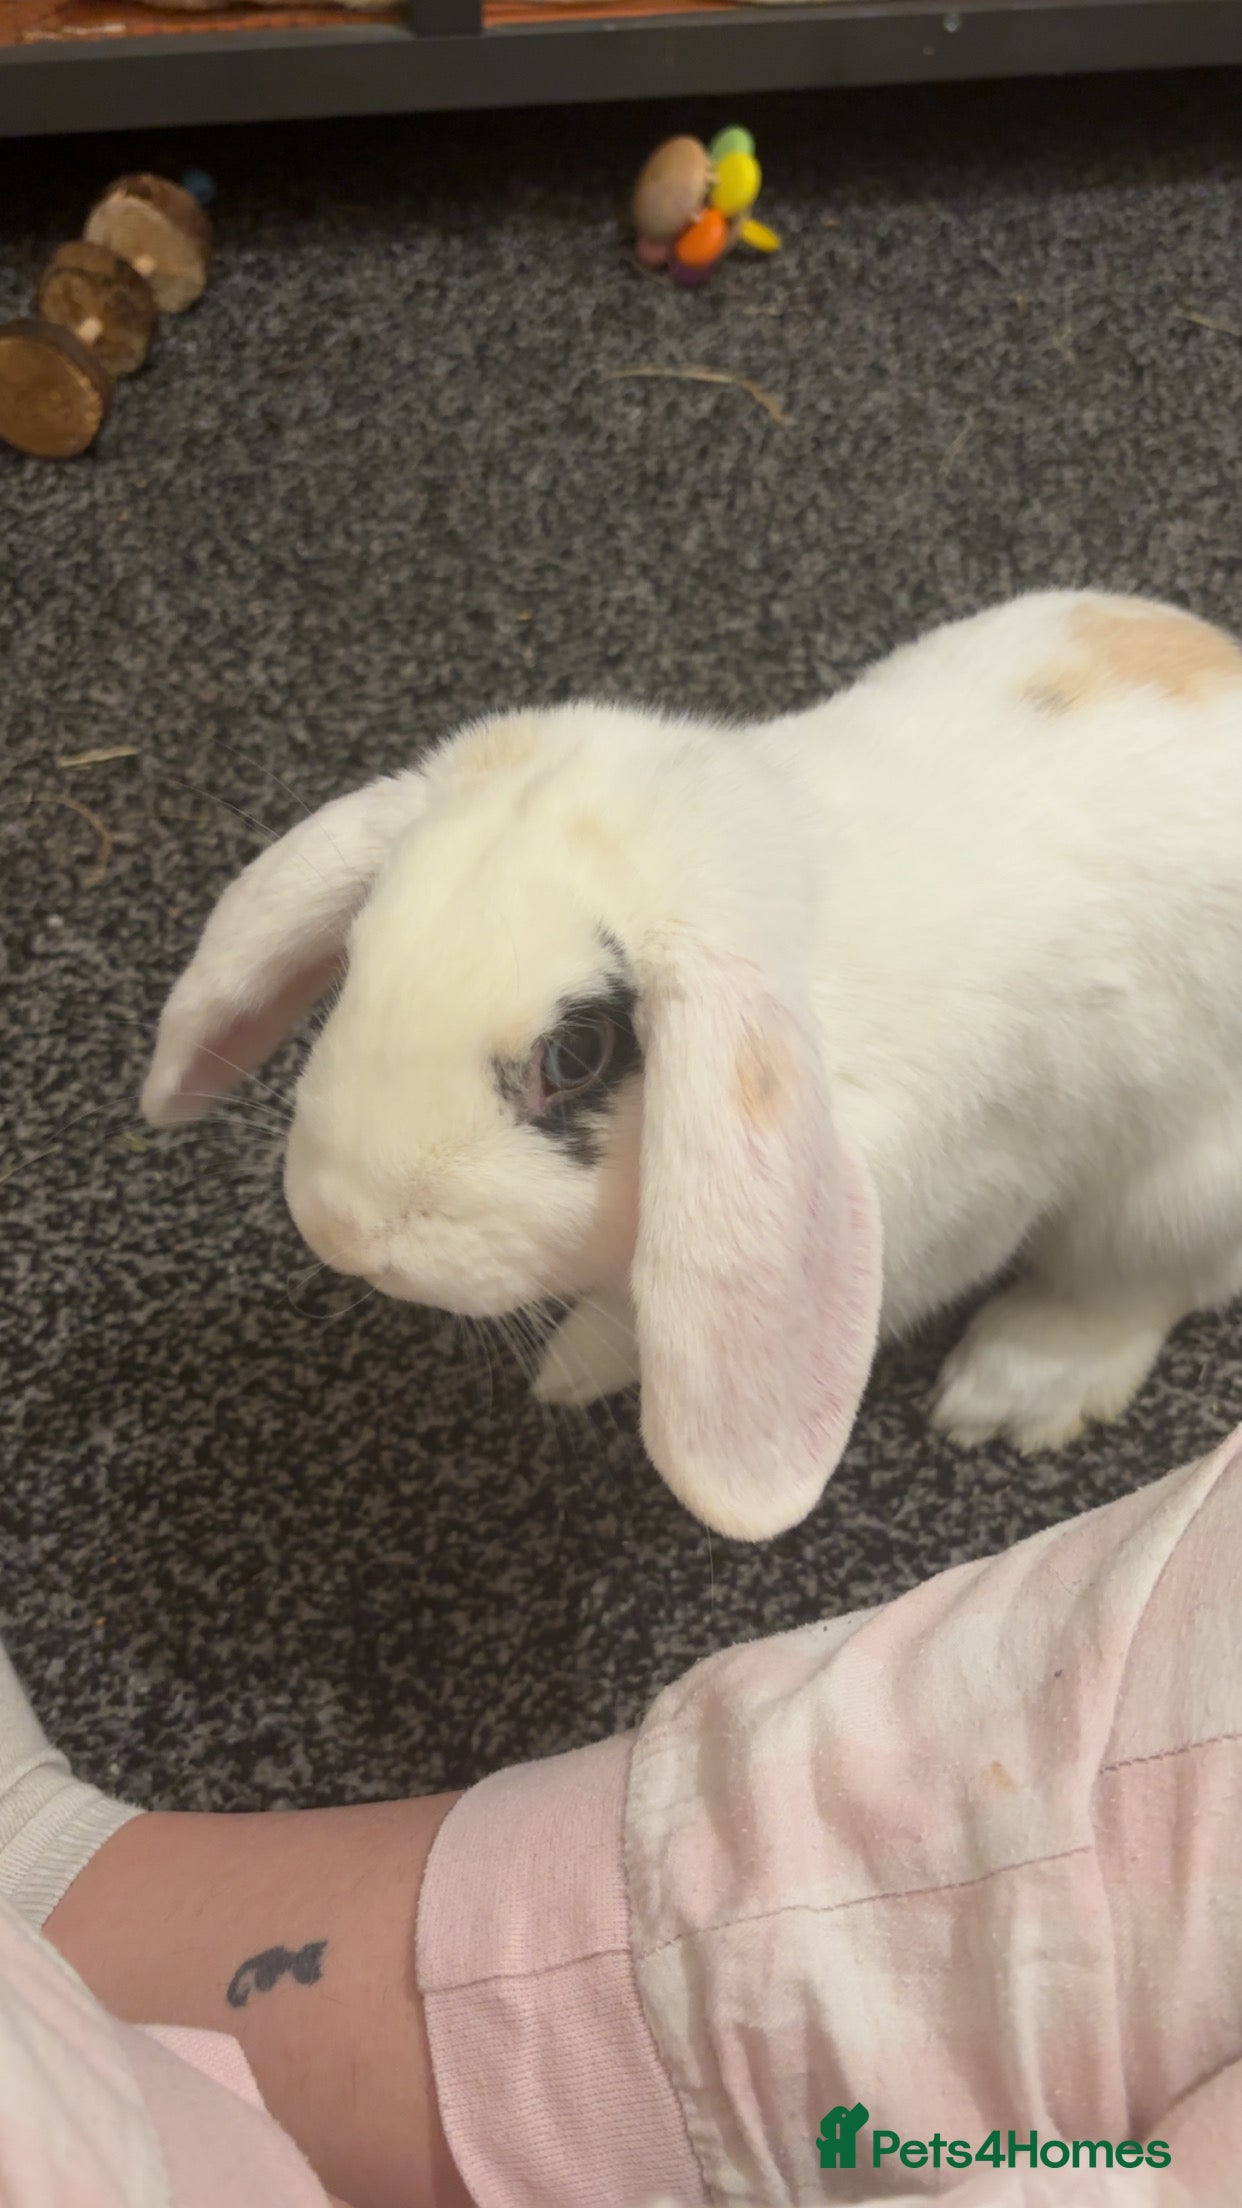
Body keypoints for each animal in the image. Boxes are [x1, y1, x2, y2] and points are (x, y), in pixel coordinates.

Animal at [141, 588, 1242, 1541]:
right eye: (357, 957)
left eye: (575, 1056)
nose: (341, 1232)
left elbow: (643, 1316)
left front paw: (570, 1369)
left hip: (1168, 1200)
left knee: (1130, 1288)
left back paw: (1006, 1395)